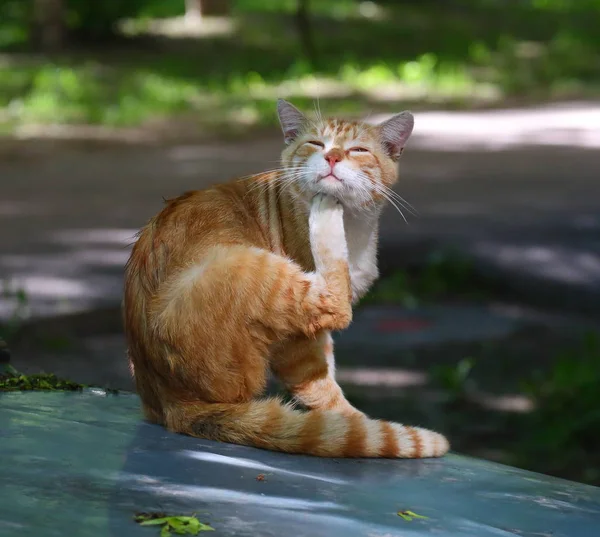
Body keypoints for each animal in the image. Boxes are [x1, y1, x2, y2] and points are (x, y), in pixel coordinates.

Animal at [123, 99, 450, 456]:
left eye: (358, 150)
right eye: (316, 144)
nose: (332, 157)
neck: (354, 227)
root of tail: (170, 405)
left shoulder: (316, 337)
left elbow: (326, 370)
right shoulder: (297, 342)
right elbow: (321, 386)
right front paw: (351, 420)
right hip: (245, 266)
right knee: (335, 303)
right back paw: (325, 214)